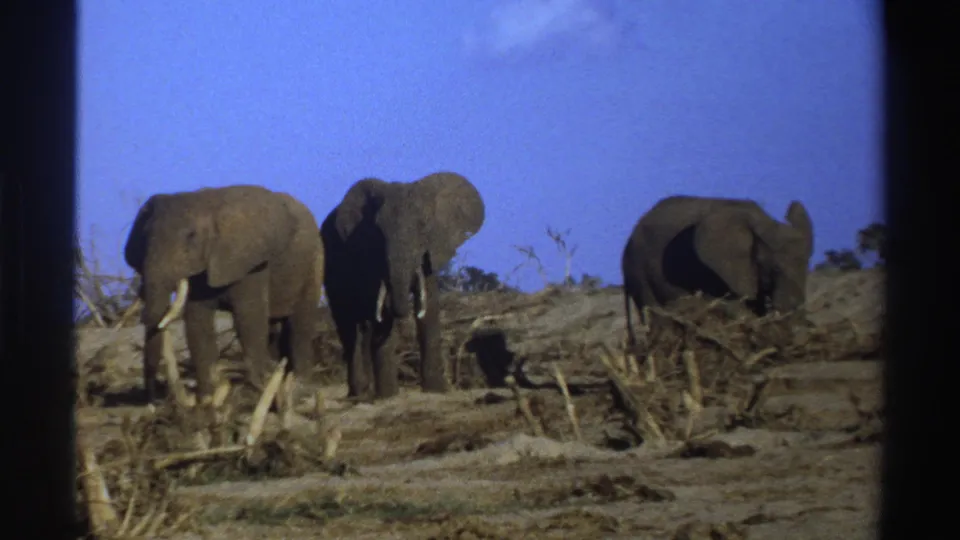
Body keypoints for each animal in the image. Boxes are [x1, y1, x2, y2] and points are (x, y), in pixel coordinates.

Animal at [123, 184, 325, 423]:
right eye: (144, 238)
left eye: (191, 236)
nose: (152, 403)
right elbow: (197, 323)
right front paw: (207, 401)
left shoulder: (250, 261)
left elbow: (248, 318)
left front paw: (259, 391)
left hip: (314, 261)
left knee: (300, 323)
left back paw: (298, 388)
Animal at [320, 171, 485, 401]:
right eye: (378, 230)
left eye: (423, 225)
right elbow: (380, 311)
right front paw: (388, 396)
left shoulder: (430, 250)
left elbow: (429, 306)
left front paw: (436, 391)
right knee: (348, 327)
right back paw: (359, 393)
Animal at [621, 195, 815, 351]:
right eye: (775, 269)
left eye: (807, 264)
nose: (799, 338)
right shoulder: (708, 270)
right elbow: (729, 305)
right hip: (637, 270)